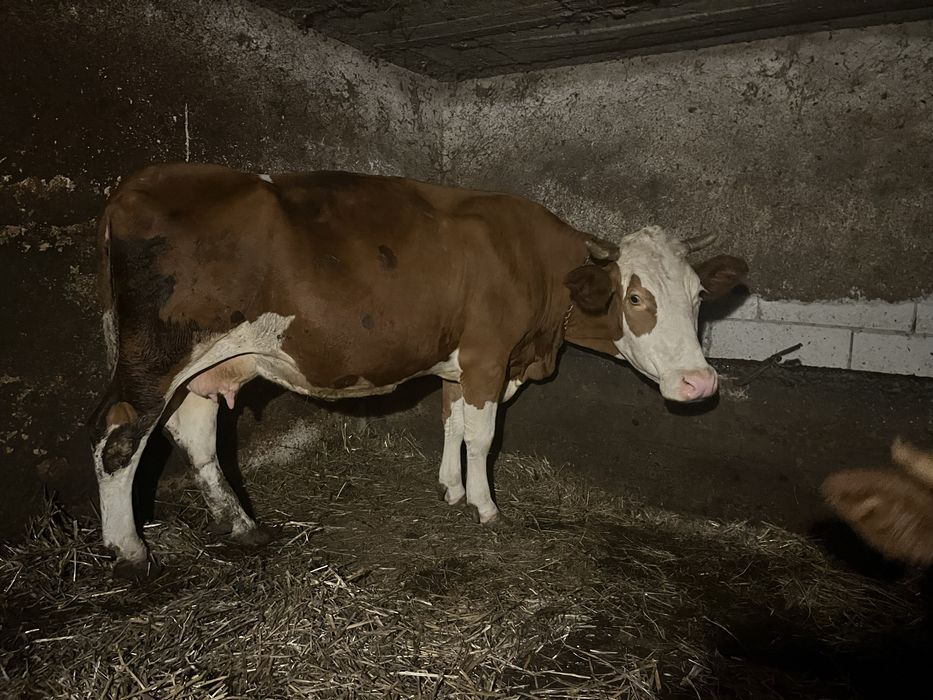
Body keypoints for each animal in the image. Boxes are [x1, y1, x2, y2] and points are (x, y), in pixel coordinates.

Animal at [88, 163, 748, 579]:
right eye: (635, 298)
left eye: (698, 297)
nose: (700, 383)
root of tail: (136, 184)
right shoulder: (487, 354)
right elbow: (483, 435)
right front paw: (484, 506)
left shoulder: (459, 364)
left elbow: (451, 421)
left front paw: (450, 489)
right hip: (154, 359)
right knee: (117, 441)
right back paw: (131, 551)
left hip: (205, 365)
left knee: (197, 436)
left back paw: (242, 526)